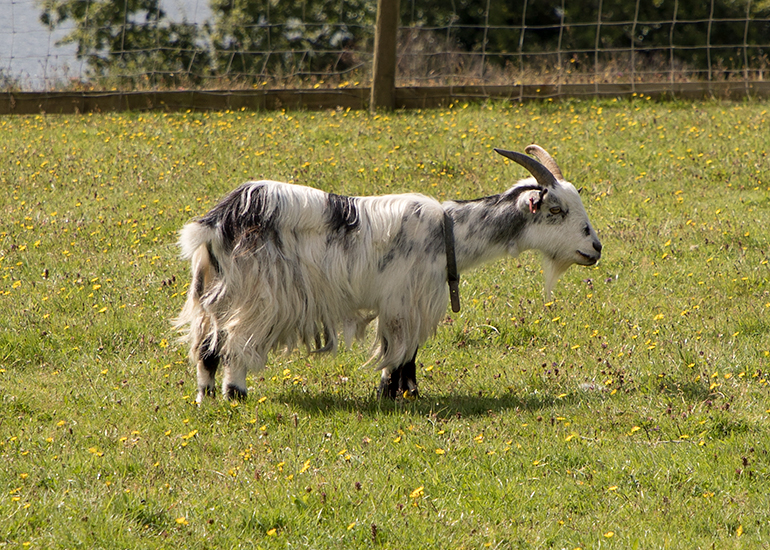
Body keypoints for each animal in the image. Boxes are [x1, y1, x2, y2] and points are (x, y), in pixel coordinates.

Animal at [175, 145, 602, 402]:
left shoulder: (399, 302)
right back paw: (236, 393)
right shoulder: (404, 301)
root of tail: (217, 222)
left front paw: (397, 392)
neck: (448, 231)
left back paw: (205, 397)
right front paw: (399, 392)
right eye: (556, 210)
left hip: (212, 290)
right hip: (257, 295)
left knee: (206, 346)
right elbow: (403, 351)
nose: (595, 247)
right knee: (234, 342)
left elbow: (401, 350)